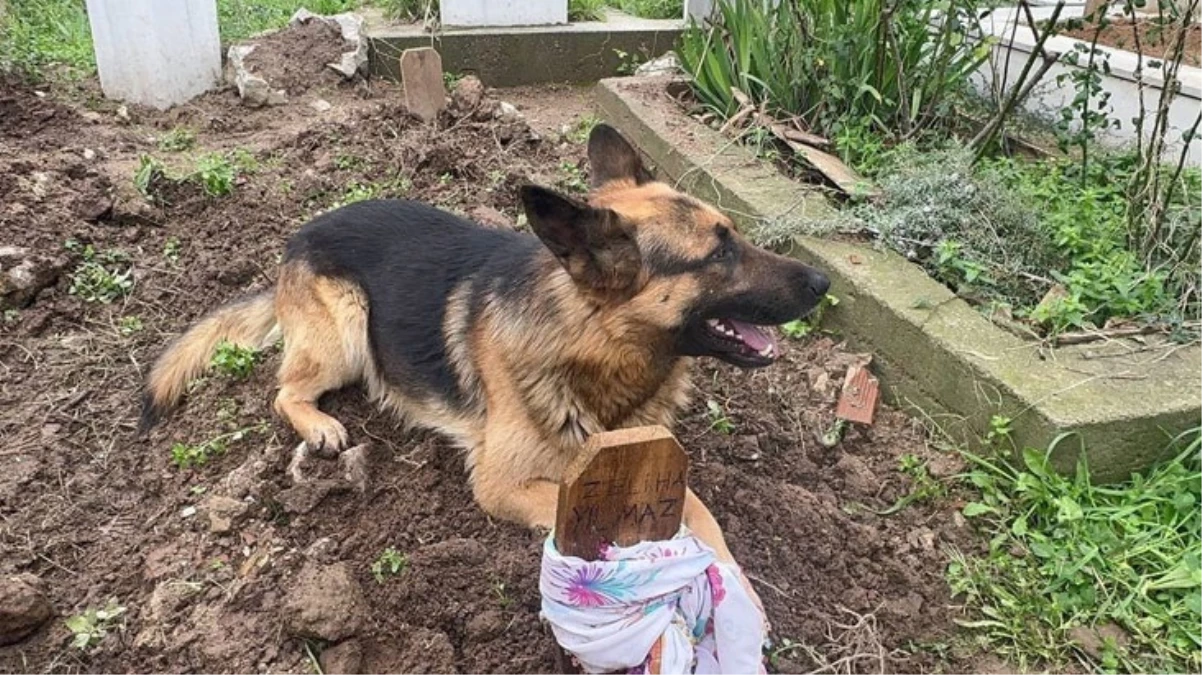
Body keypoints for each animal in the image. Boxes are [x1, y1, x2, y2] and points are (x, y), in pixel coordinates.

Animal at [140, 124, 831, 566]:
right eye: (718, 255)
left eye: (734, 236)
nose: (823, 282)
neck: (591, 343)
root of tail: (297, 238)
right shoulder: (502, 486)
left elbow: (704, 518)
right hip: (346, 332)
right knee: (283, 389)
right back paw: (320, 425)